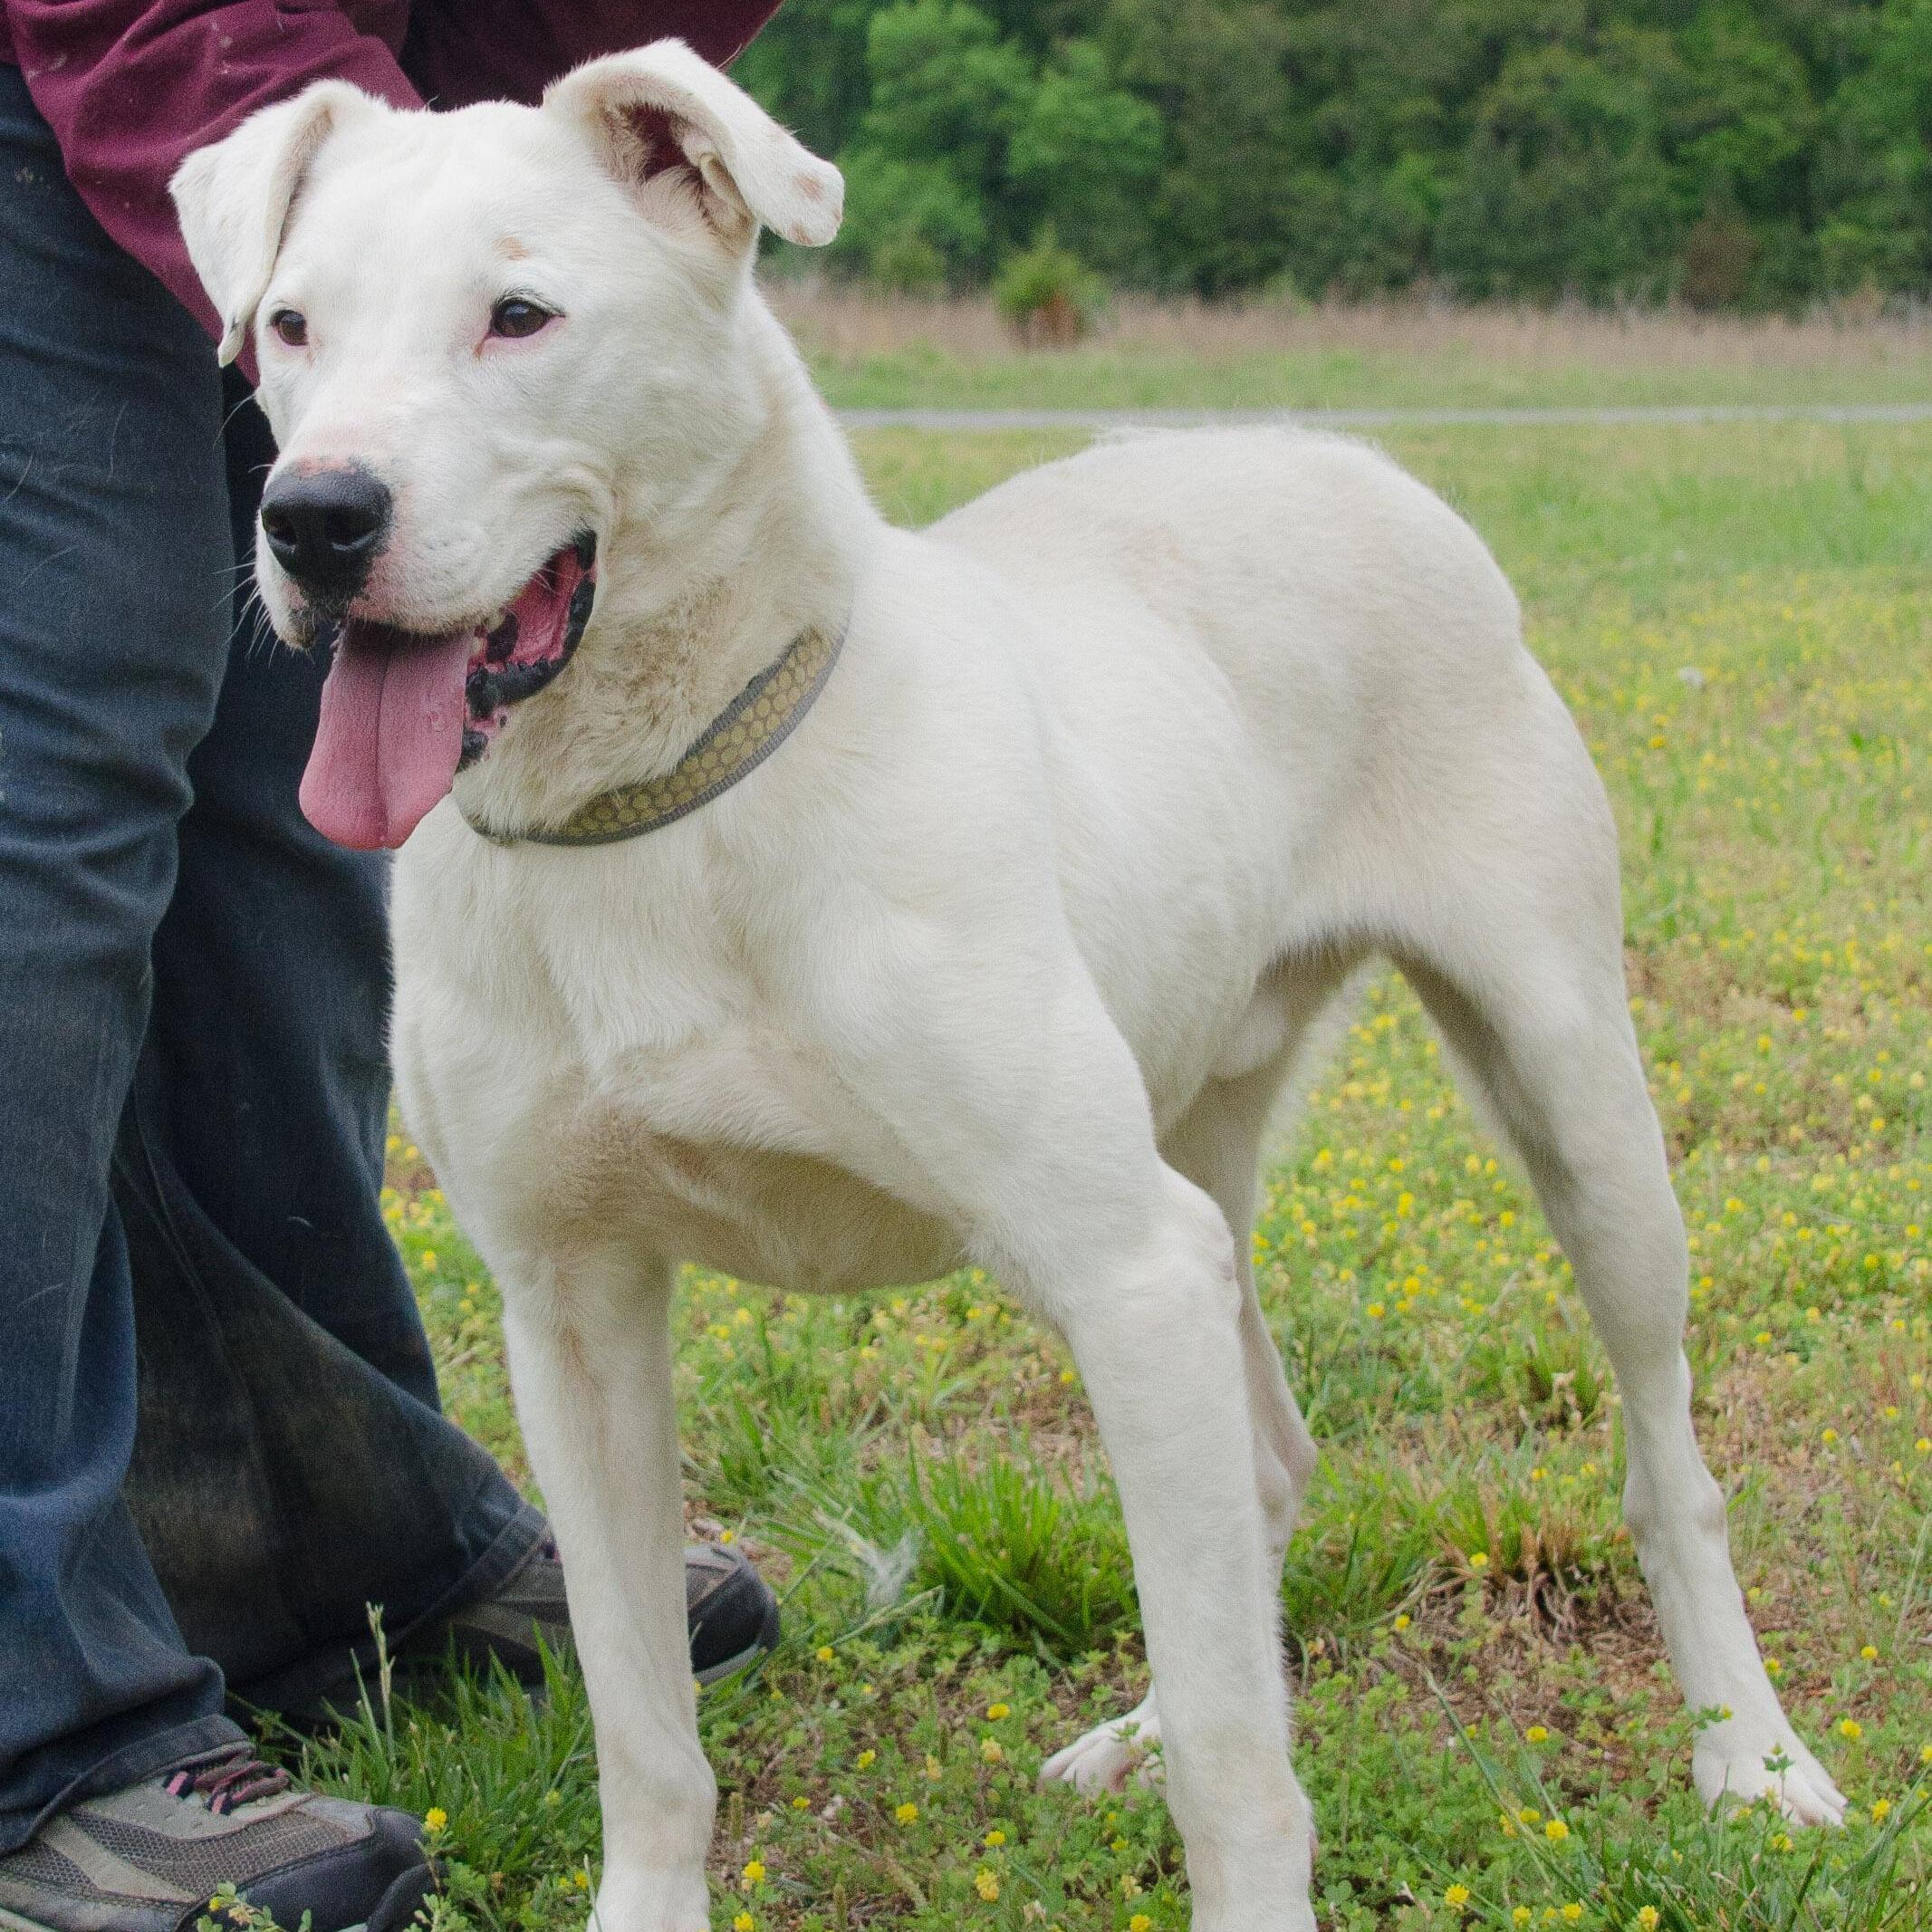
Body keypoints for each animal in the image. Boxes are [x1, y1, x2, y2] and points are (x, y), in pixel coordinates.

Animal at [178, 49, 1839, 1932]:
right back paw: (1134, 1722)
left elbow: (1238, 1763)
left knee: (1659, 1461)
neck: (664, 808)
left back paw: (1751, 1757)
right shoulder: (573, 1312)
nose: (314, 518)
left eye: (518, 316)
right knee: (1259, 1469)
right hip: (1192, 1155)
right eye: (290, 327)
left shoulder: (1124, 1267)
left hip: (1559, 1100)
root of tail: (1326, 453)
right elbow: (645, 1730)